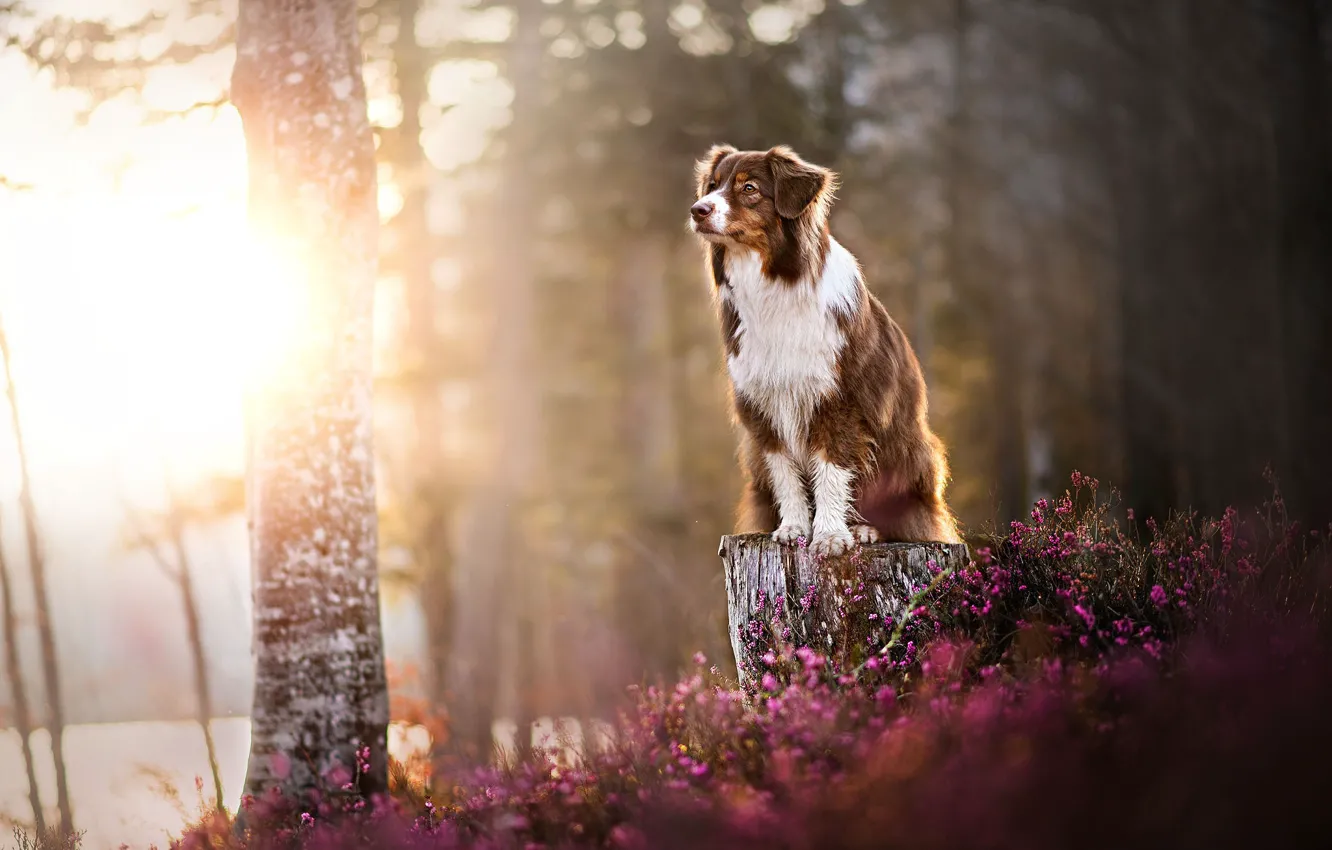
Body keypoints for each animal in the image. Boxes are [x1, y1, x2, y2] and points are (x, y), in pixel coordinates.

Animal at [692, 143, 964, 556]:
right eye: (712, 185)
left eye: (749, 188)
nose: (698, 210)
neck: (773, 284)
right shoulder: (764, 405)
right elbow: (786, 474)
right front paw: (793, 528)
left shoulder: (840, 402)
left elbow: (831, 471)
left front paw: (831, 534)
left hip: (912, 449)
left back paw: (865, 529)